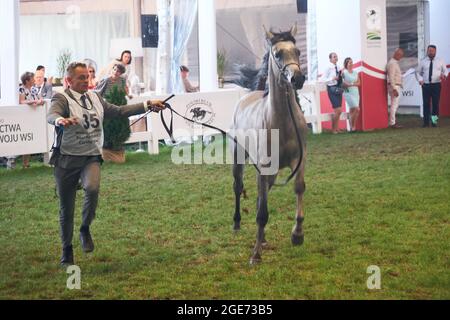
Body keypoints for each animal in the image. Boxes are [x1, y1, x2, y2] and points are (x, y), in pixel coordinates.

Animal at [230, 26, 308, 264]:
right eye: (278, 54)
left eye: (297, 51)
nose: (297, 79)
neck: (281, 122)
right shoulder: (262, 169)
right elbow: (262, 212)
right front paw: (255, 254)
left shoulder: (299, 160)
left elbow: (298, 188)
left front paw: (297, 235)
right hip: (239, 159)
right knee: (238, 187)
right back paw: (237, 223)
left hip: (271, 173)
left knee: (259, 196)